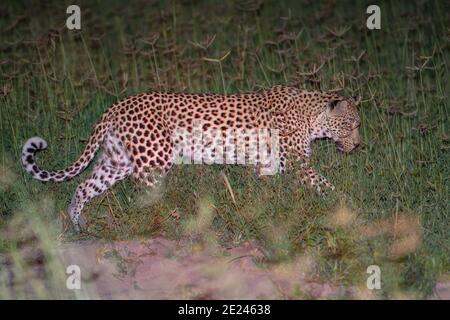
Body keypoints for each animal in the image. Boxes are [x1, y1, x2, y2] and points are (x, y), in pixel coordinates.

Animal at [21, 84, 360, 231]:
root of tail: (118, 105)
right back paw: (164, 224)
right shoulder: (297, 165)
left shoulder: (266, 164)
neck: (311, 116)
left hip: (117, 162)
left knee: (83, 186)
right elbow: (325, 186)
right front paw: (349, 207)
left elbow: (267, 194)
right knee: (144, 197)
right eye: (352, 124)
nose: (357, 145)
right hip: (153, 161)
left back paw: (76, 223)